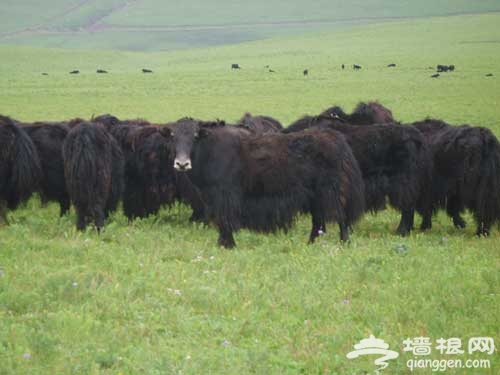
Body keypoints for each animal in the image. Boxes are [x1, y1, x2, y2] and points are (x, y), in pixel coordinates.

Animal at [164, 119, 364, 248]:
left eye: (195, 136)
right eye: (173, 136)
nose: (181, 164)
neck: (210, 150)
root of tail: (335, 138)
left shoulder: (225, 195)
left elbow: (225, 219)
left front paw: (226, 244)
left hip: (329, 191)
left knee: (339, 216)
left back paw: (344, 243)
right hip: (315, 195)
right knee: (318, 220)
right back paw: (310, 244)